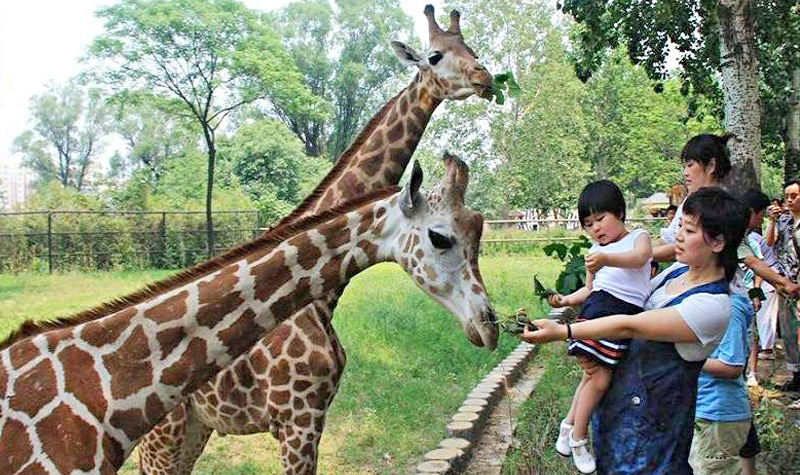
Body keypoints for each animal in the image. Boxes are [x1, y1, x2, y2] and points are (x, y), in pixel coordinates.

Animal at [140, 4, 496, 475]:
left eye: (469, 47)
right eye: (435, 56)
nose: (484, 76)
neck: (322, 297)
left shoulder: (313, 416)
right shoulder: (297, 418)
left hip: (197, 425)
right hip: (163, 433)